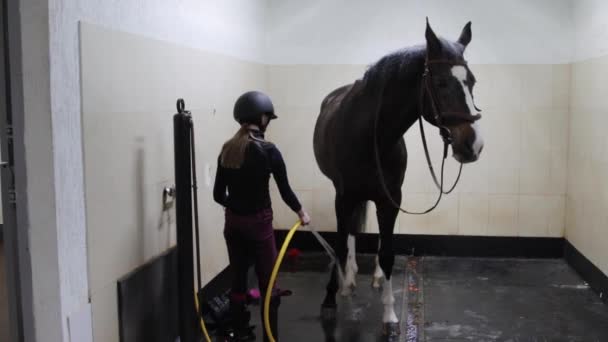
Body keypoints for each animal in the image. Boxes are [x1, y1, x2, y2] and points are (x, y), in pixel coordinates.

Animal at [314, 20, 484, 336]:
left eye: (472, 82)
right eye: (441, 83)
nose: (474, 144)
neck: (370, 134)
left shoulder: (391, 197)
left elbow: (388, 253)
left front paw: (389, 313)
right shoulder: (343, 196)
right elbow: (340, 243)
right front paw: (331, 296)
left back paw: (374, 277)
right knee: (350, 232)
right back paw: (349, 280)